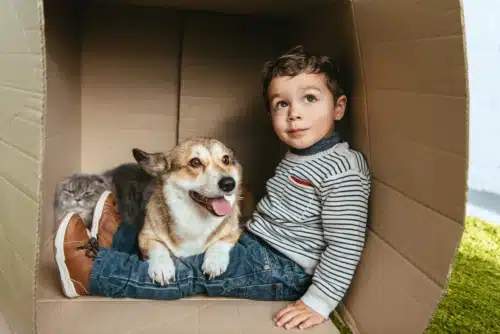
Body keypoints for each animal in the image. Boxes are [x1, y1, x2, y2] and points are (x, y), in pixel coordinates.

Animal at [133, 137, 248, 286]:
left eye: (226, 159)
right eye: (195, 162)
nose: (229, 183)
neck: (195, 216)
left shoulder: (234, 232)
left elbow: (220, 242)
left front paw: (214, 261)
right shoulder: (145, 236)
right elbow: (158, 246)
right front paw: (162, 266)